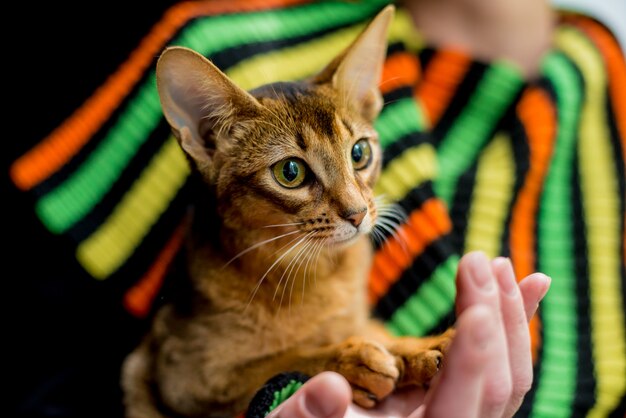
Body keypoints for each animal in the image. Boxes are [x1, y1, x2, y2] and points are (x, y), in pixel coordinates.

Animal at [122, 6, 454, 418]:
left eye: (360, 153)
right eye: (290, 172)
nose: (358, 213)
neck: (319, 274)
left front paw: (421, 347)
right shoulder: (182, 380)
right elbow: (282, 359)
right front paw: (350, 361)